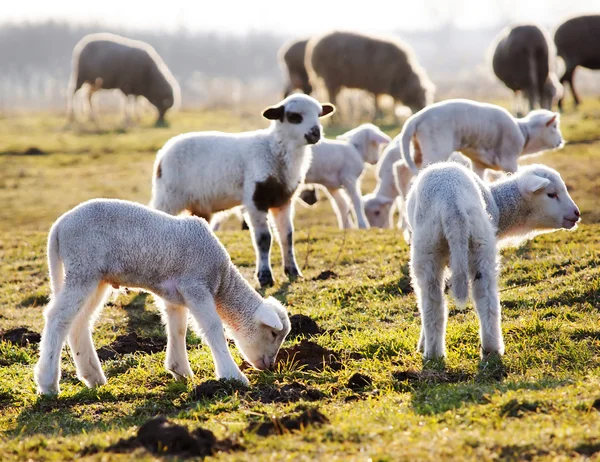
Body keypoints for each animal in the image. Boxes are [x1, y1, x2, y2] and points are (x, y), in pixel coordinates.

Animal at [34, 198, 292, 394]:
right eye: (273, 333)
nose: (269, 366)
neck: (222, 280)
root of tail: (59, 227)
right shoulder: (196, 286)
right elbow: (213, 328)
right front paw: (232, 376)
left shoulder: (174, 294)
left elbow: (177, 328)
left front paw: (180, 370)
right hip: (83, 267)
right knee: (58, 318)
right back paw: (48, 383)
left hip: (96, 277)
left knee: (79, 321)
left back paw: (93, 376)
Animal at [150, 94, 336, 288]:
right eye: (294, 116)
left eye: (319, 114)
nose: (316, 133)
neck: (273, 150)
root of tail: (163, 153)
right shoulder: (255, 199)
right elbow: (264, 239)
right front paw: (265, 277)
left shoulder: (283, 200)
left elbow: (287, 236)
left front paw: (293, 272)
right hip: (168, 196)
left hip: (198, 204)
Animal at [398, 98, 564, 178]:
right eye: (555, 127)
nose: (561, 142)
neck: (525, 133)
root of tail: (416, 118)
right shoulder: (509, 162)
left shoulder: (479, 164)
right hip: (436, 149)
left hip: (418, 149)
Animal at [406, 163, 580, 360]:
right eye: (551, 194)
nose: (576, 213)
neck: (499, 205)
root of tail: (452, 204)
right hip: (469, 242)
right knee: (475, 299)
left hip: (442, 246)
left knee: (440, 302)